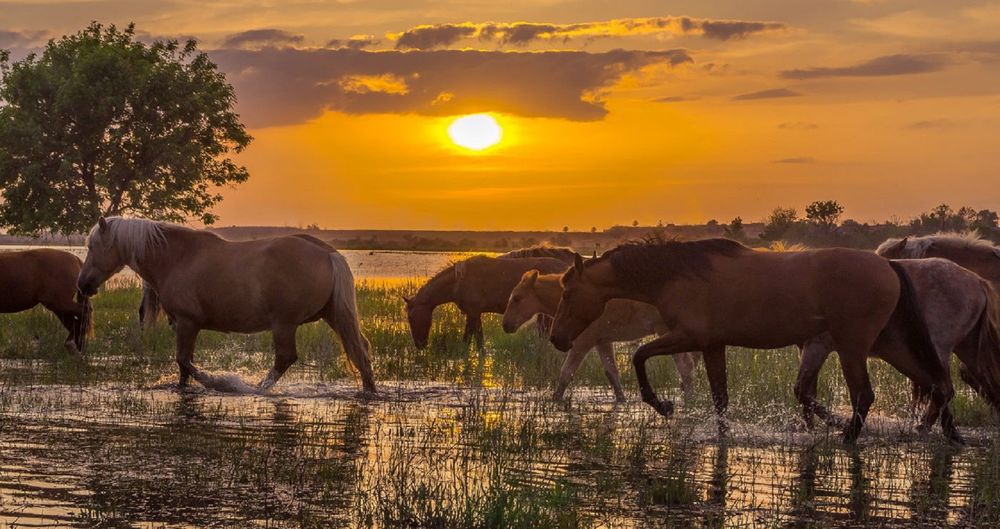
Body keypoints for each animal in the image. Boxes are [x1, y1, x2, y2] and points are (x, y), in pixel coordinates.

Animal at [78, 214, 376, 392]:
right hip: (333, 316)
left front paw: (217, 381)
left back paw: (256, 389)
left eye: (93, 246)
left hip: (284, 324)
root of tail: (327, 253)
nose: (83, 284)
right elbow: (183, 367)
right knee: (360, 353)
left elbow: (185, 361)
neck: (177, 258)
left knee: (285, 358)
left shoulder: (187, 323)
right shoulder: (186, 326)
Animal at [404, 248, 576, 350]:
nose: (419, 344)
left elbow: (473, 340)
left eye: (410, 317)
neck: (458, 281)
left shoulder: (473, 313)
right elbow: (473, 340)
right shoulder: (473, 313)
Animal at [504, 270, 700, 402]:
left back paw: (689, 401)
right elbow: (612, 373)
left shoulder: (582, 342)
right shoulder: (602, 341)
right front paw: (621, 400)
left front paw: (555, 399)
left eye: (517, 297)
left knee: (686, 367)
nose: (506, 324)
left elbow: (566, 373)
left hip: (667, 331)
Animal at [548, 238, 936, 442]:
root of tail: (887, 265)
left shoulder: (688, 337)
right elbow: (720, 397)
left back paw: (846, 436)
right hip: (886, 346)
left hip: (853, 347)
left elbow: (639, 357)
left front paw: (664, 406)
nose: (556, 338)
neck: (677, 276)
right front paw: (721, 434)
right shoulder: (711, 345)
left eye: (567, 293)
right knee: (931, 384)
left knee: (864, 395)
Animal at [796, 258, 1000, 444]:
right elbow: (808, 393)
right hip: (966, 349)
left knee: (943, 387)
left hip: (937, 348)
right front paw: (810, 428)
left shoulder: (817, 345)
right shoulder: (808, 348)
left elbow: (803, 392)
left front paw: (836, 423)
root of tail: (977, 281)